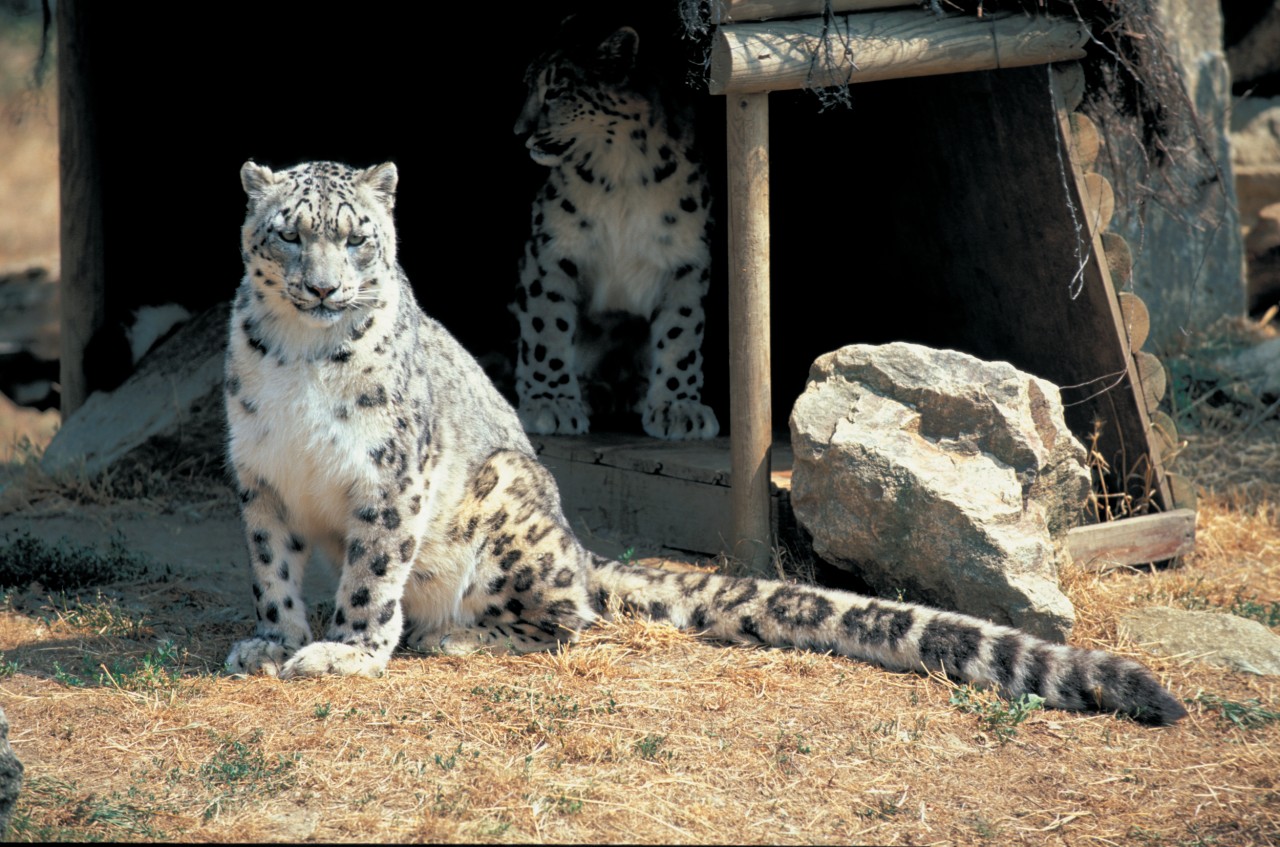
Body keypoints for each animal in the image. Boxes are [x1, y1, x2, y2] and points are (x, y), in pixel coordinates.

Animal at [220, 156, 1187, 726]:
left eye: (356, 238)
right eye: (289, 232)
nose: (322, 288)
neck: (301, 361)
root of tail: (577, 541)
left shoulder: (391, 477)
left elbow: (371, 573)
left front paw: (343, 651)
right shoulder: (260, 478)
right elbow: (271, 568)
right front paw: (271, 638)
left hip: (507, 510)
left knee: (570, 614)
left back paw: (453, 637)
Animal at [506, 23, 716, 440]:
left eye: (556, 91)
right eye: (528, 86)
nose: (520, 131)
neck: (621, 172)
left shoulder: (686, 256)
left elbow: (681, 332)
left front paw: (678, 408)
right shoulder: (552, 247)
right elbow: (546, 325)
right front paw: (551, 405)